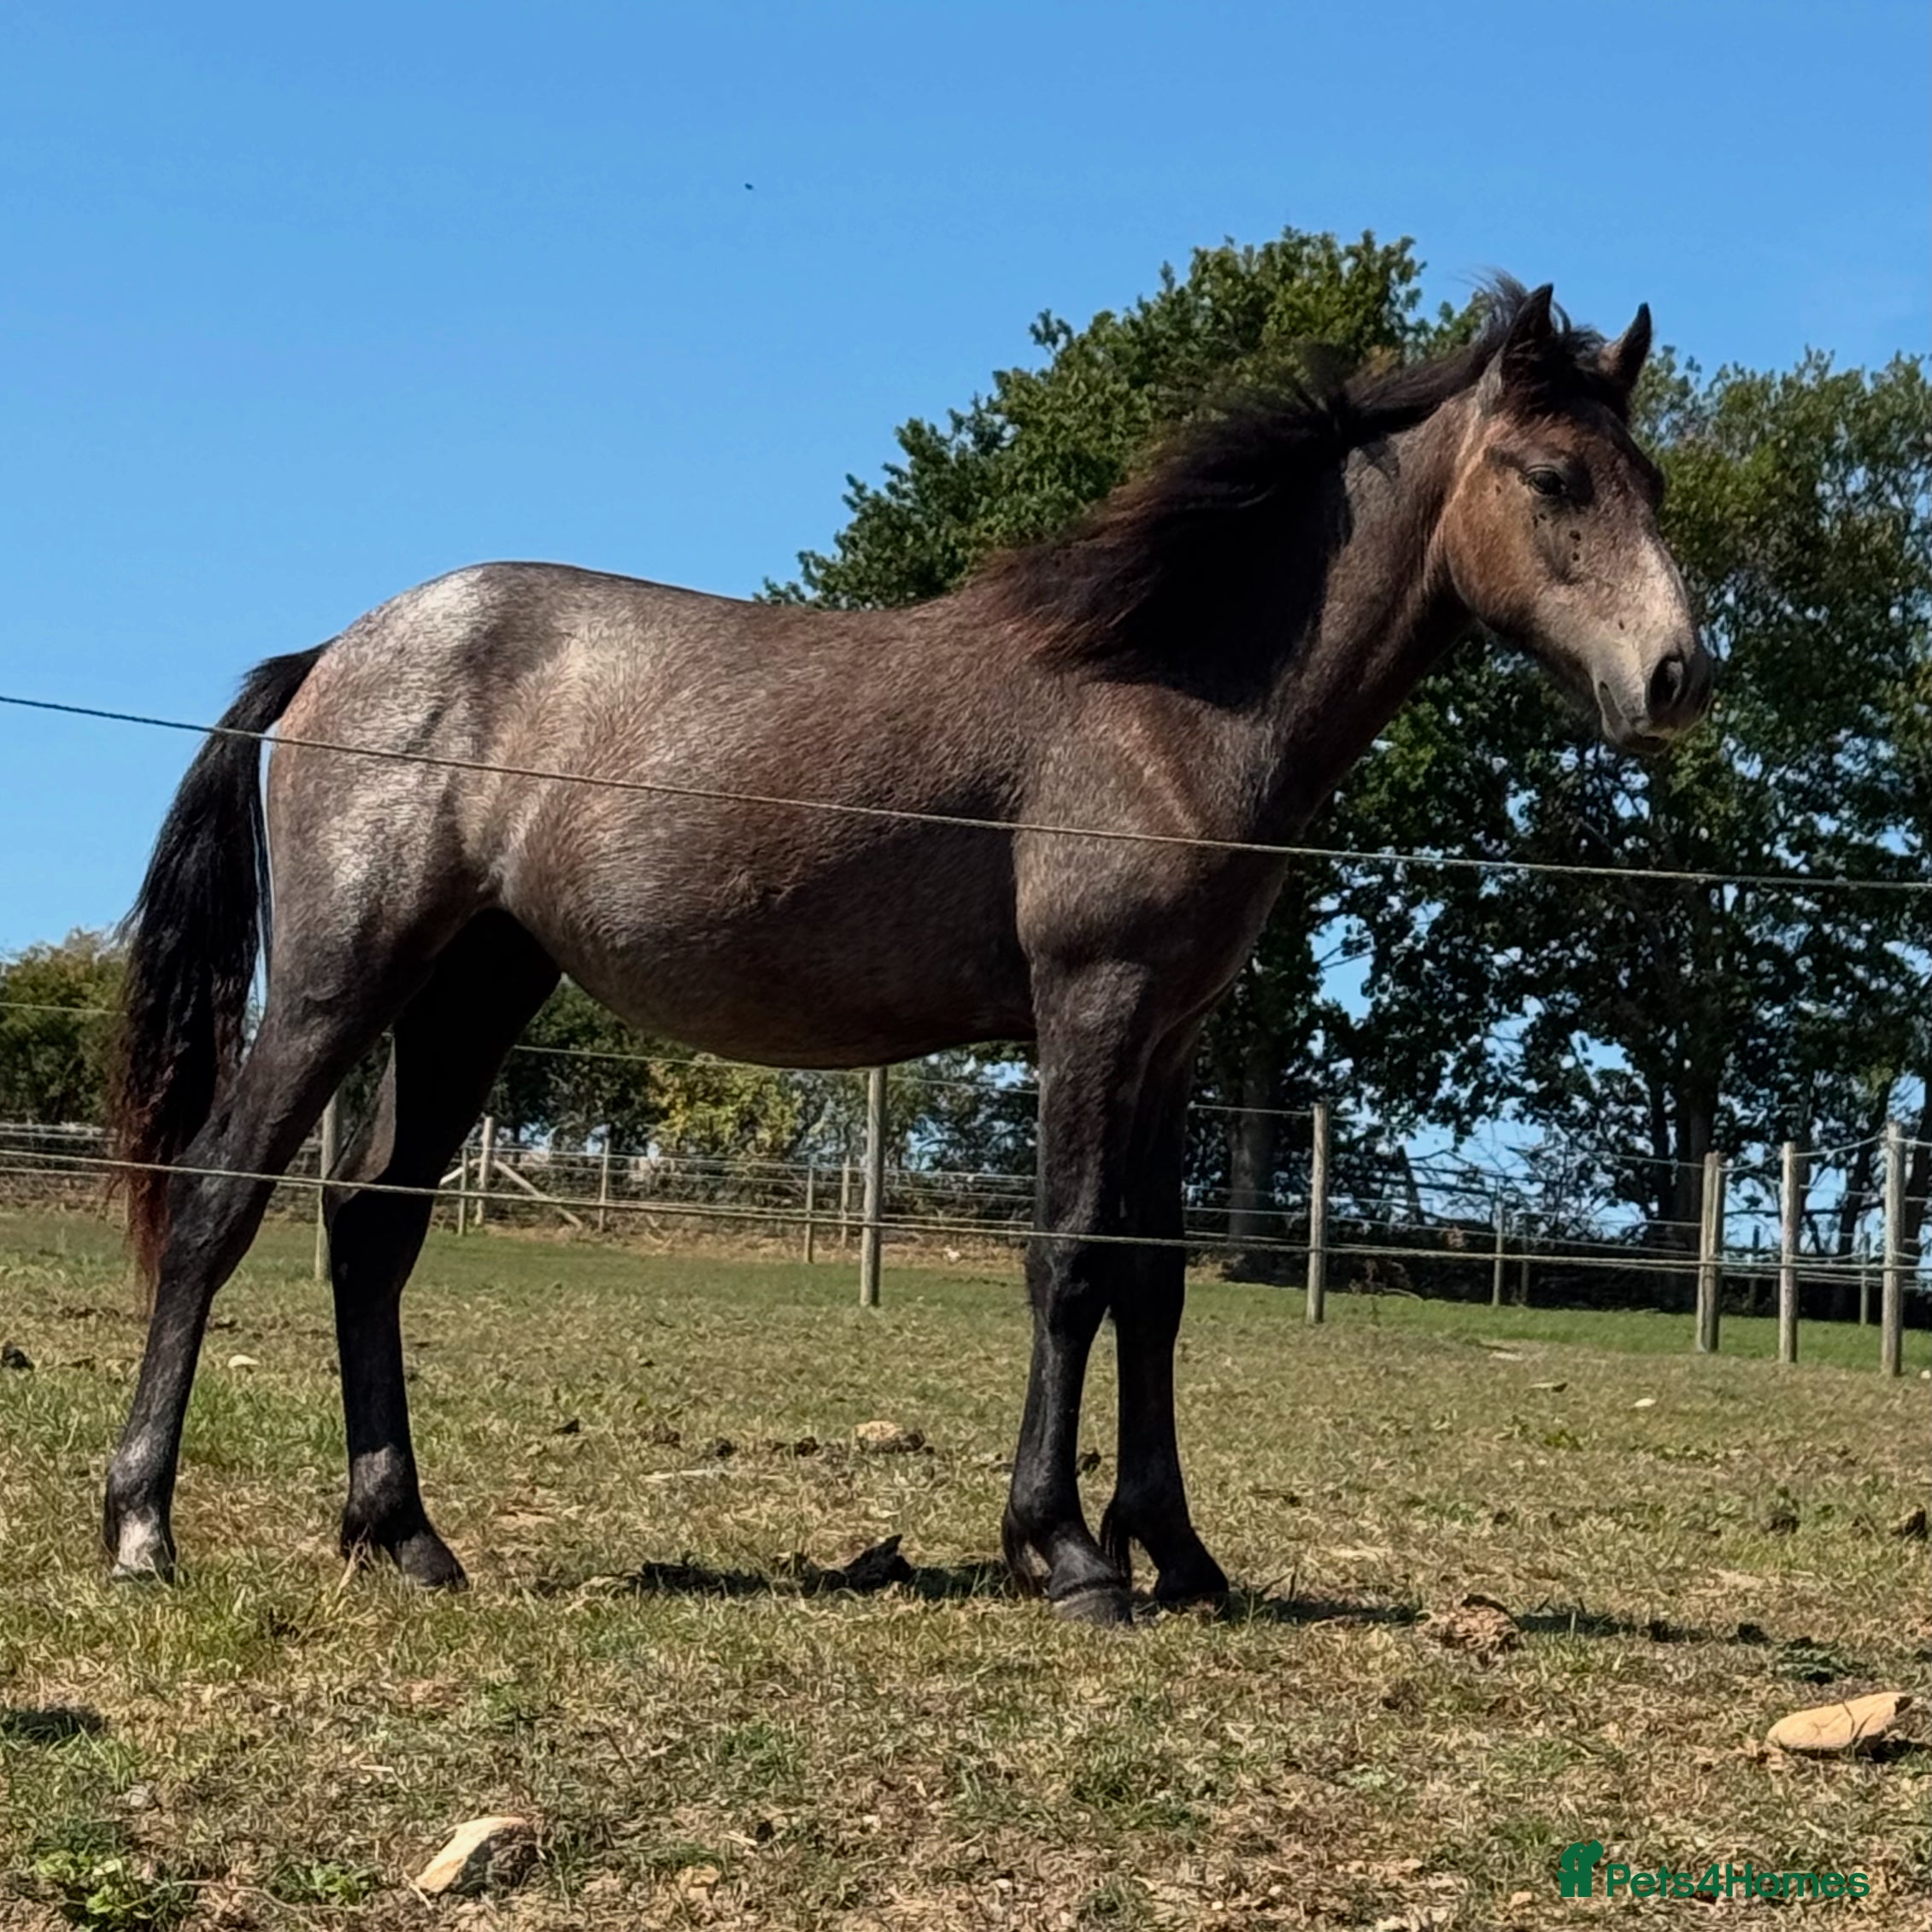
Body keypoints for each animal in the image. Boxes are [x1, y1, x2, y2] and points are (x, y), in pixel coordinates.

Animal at [102, 282, 1711, 1624]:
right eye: (1554, 478)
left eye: (1652, 482)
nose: (1677, 677)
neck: (1165, 696)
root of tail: (335, 651)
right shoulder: (1093, 1007)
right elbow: (1069, 1262)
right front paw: (1066, 1553)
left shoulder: (1172, 1038)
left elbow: (1156, 1281)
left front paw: (1179, 1551)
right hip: (339, 981)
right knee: (218, 1205)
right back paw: (141, 1529)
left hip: (468, 996)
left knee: (371, 1228)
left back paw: (405, 1536)